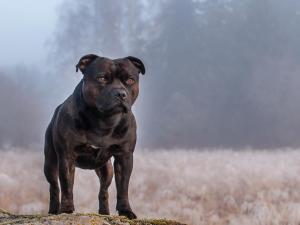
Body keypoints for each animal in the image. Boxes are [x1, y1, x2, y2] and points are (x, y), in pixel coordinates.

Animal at [43, 53, 145, 219]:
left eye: (130, 80)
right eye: (102, 78)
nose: (120, 93)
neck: (104, 120)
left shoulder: (124, 157)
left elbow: (123, 188)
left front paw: (125, 211)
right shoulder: (67, 156)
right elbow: (66, 185)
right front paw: (66, 209)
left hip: (107, 170)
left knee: (103, 190)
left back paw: (104, 212)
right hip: (50, 163)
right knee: (54, 186)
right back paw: (53, 210)